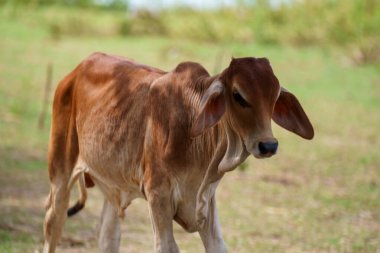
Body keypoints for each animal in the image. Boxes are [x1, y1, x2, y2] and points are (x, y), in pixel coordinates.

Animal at [43, 52, 314, 252]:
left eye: (274, 96)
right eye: (238, 95)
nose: (268, 145)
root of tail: (75, 71)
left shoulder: (206, 201)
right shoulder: (158, 195)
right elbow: (166, 246)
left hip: (113, 185)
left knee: (108, 237)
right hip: (60, 170)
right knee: (53, 222)